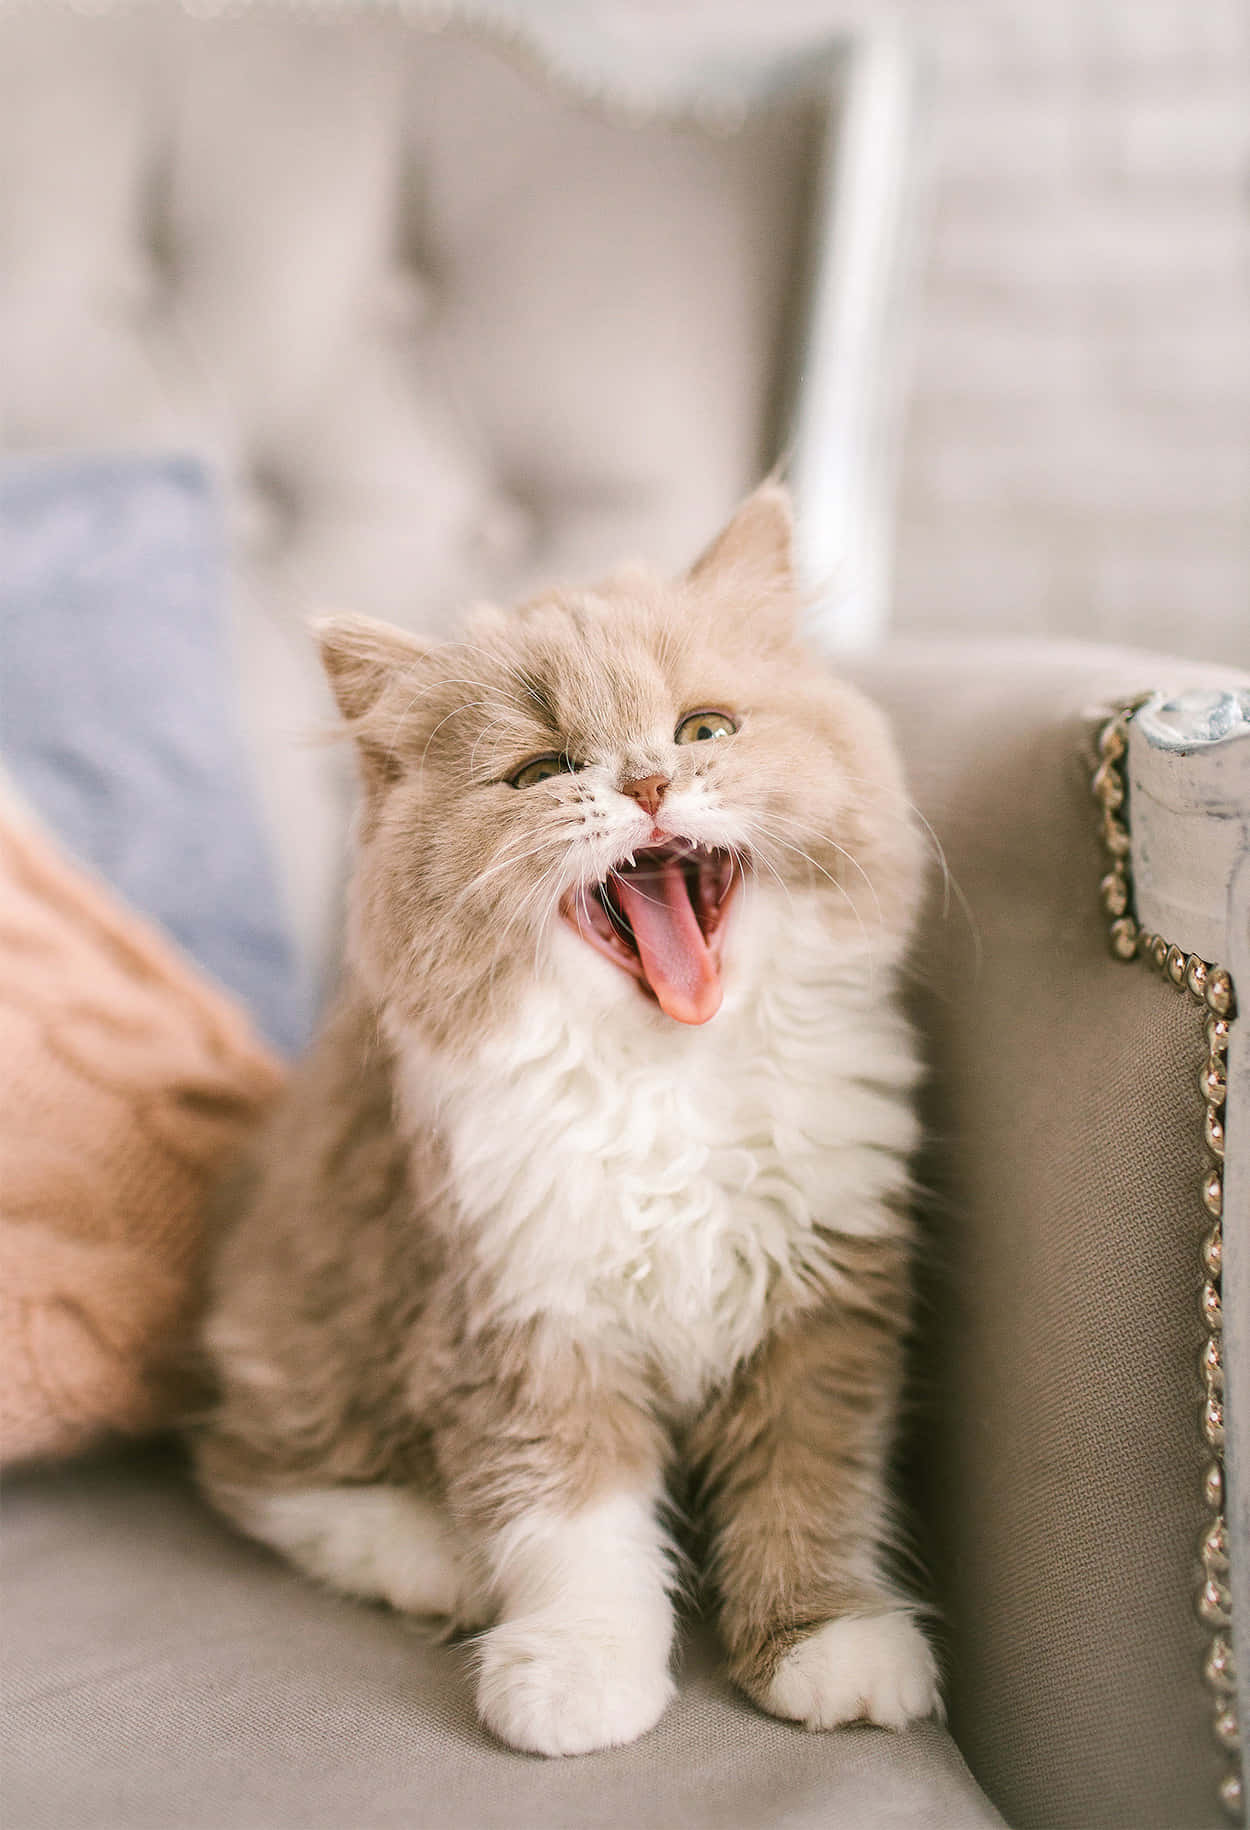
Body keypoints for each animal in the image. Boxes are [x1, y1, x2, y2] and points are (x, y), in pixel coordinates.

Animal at [193, 483, 937, 1756]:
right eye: (542, 769)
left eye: (703, 731)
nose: (644, 785)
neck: (665, 1080)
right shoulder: (518, 1319)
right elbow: (573, 1525)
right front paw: (577, 1675)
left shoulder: (822, 1305)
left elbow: (812, 1489)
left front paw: (826, 1643)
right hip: (308, 1342)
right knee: (248, 1469)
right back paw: (435, 1557)